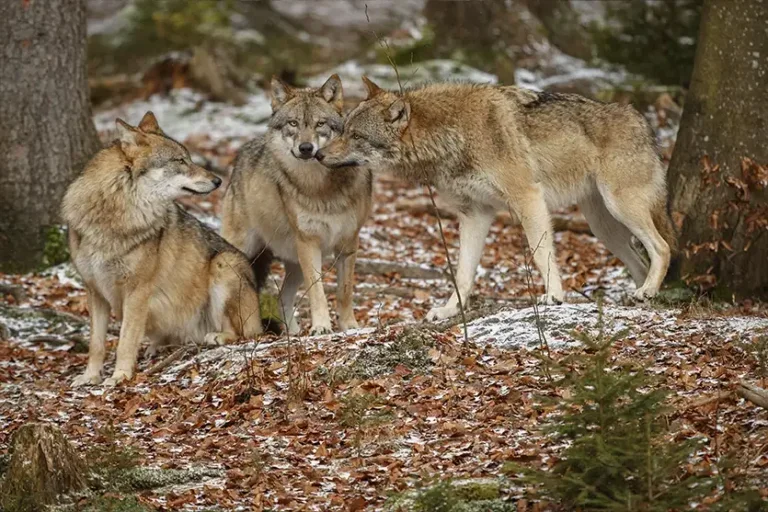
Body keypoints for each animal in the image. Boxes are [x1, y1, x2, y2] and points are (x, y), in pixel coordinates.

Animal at [62, 112, 262, 387]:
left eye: (189, 158)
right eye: (180, 160)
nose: (218, 180)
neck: (115, 215)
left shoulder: (137, 291)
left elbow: (125, 342)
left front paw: (119, 376)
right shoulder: (95, 291)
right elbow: (97, 344)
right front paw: (90, 377)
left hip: (223, 264)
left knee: (244, 333)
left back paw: (216, 336)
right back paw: (157, 347)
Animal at [220, 75, 372, 335]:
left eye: (320, 124)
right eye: (293, 123)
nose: (306, 148)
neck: (320, 188)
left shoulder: (349, 242)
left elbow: (344, 292)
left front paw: (349, 326)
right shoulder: (309, 242)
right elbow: (318, 291)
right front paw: (321, 327)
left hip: (294, 263)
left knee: (282, 297)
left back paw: (292, 333)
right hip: (243, 252)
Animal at [317, 78, 676, 321]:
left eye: (356, 135)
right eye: (342, 129)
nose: (317, 154)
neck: (453, 135)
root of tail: (643, 121)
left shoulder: (527, 197)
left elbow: (540, 252)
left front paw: (553, 296)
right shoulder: (474, 214)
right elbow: (462, 273)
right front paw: (449, 310)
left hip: (620, 208)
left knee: (662, 248)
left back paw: (647, 290)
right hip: (604, 228)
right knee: (640, 261)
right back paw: (639, 298)